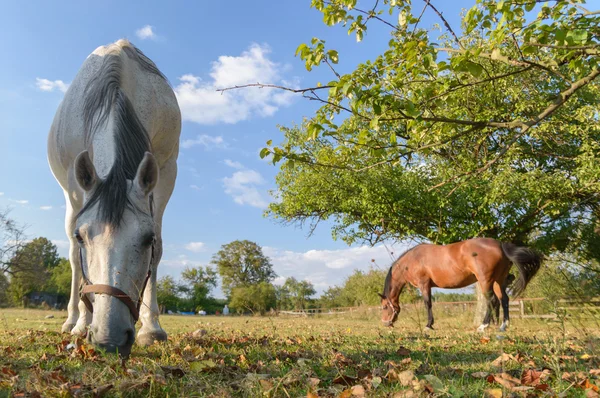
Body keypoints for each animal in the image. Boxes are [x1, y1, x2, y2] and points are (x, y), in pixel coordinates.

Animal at [46, 39, 179, 358]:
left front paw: (152, 329)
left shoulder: (166, 173)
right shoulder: (76, 185)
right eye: (82, 237)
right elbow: (77, 257)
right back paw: (73, 320)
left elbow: (159, 250)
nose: (110, 337)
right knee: (71, 259)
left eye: (147, 239)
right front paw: (82, 324)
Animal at [380, 238, 544, 332]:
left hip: (485, 281)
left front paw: (428, 325)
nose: (386, 324)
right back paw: (503, 326)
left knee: (492, 301)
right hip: (499, 281)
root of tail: (500, 245)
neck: (413, 259)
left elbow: (428, 304)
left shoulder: (424, 284)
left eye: (384, 307)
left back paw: (483, 326)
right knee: (504, 300)